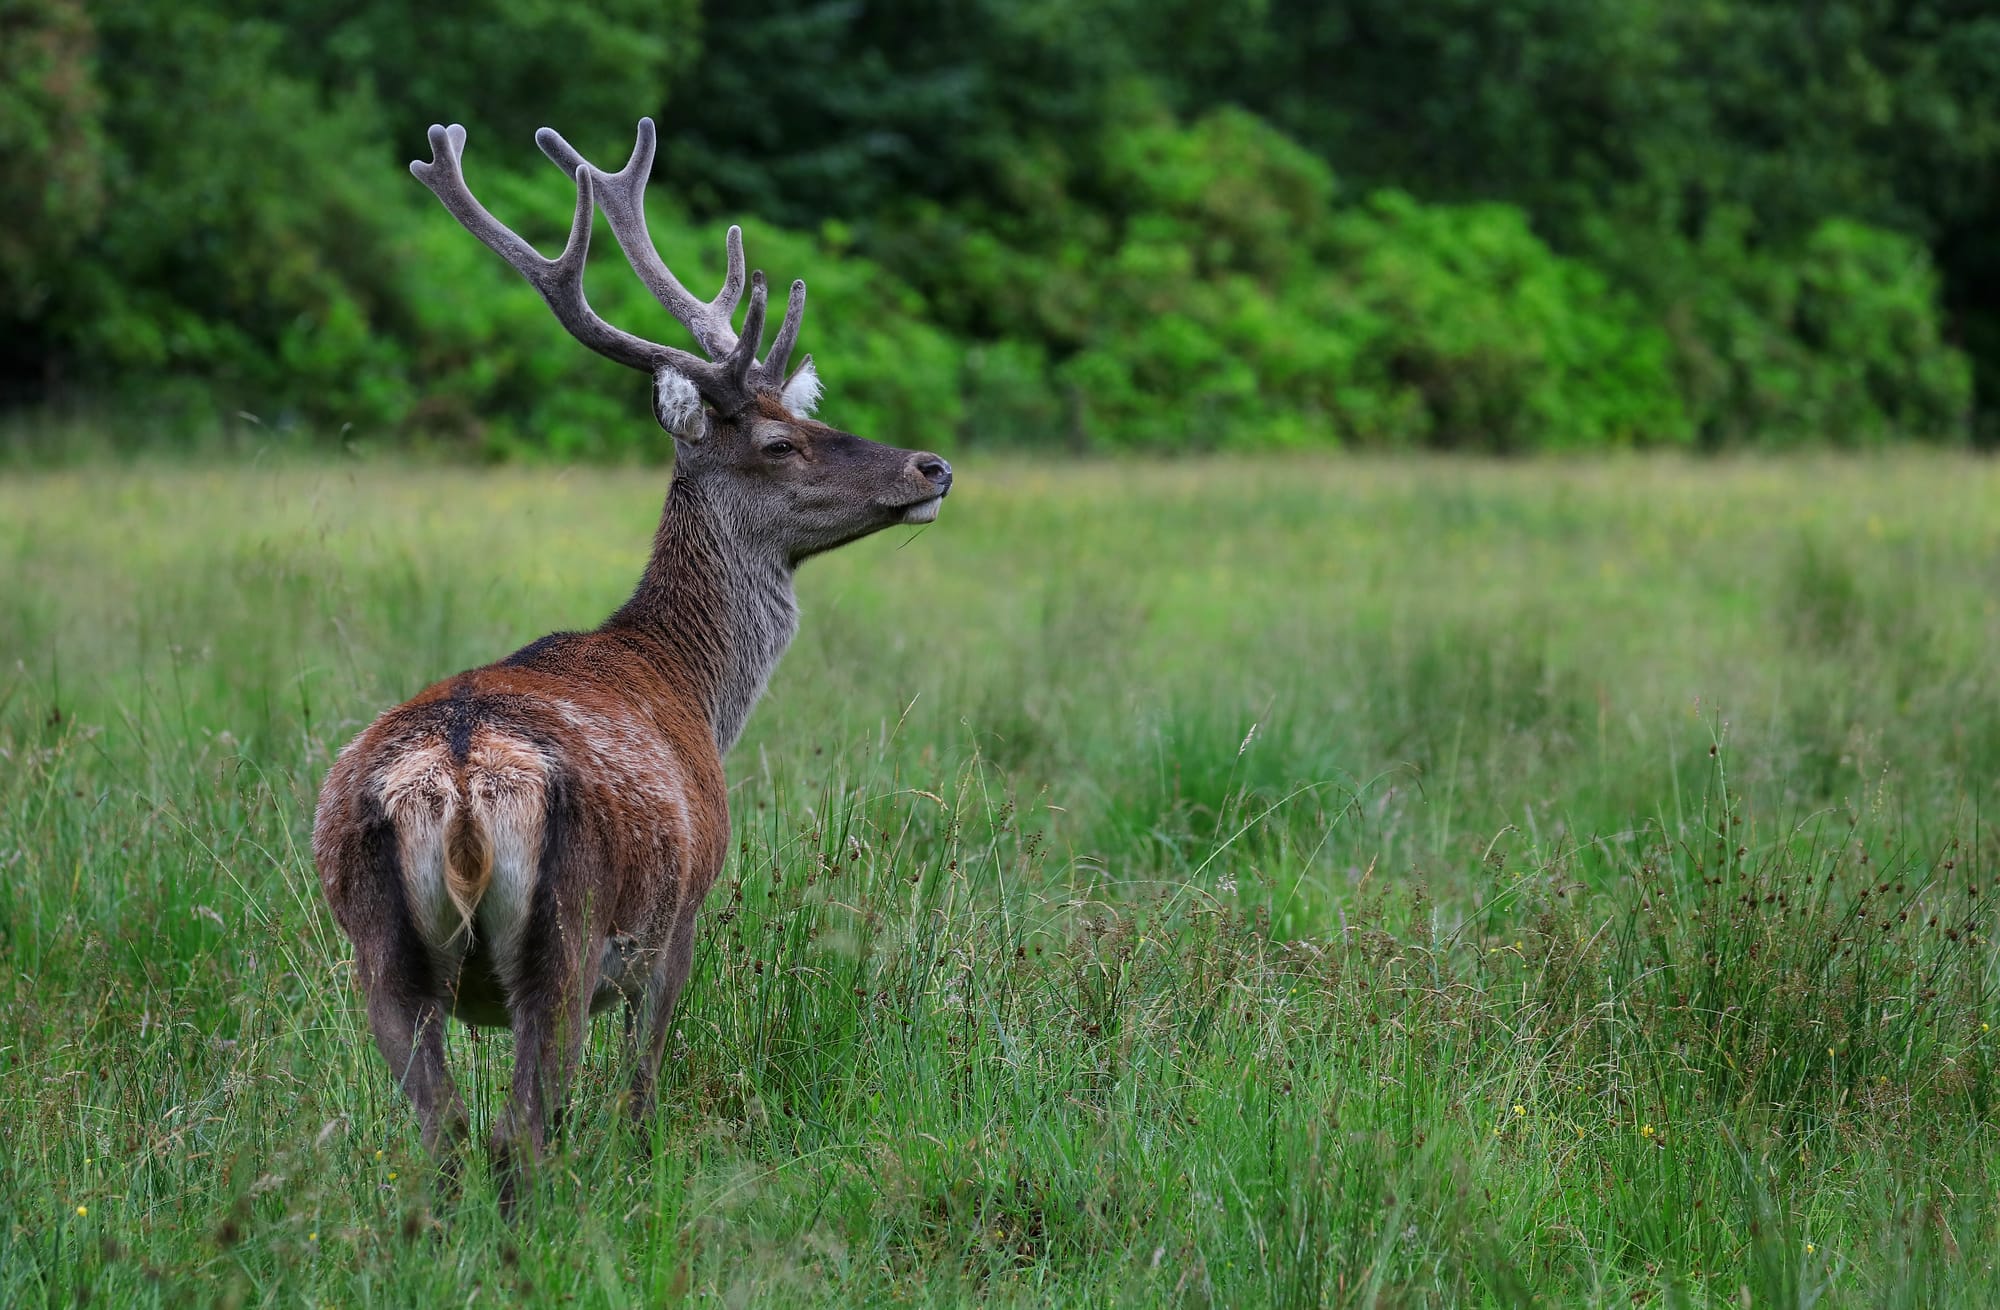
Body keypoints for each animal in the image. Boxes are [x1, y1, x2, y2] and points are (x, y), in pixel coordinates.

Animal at [312, 118, 952, 1192]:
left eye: (810, 415)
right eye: (781, 443)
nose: (931, 465)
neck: (695, 691)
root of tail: (456, 781)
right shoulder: (684, 912)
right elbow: (643, 1087)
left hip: (376, 951)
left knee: (445, 1136)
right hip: (564, 935)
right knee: (521, 1130)